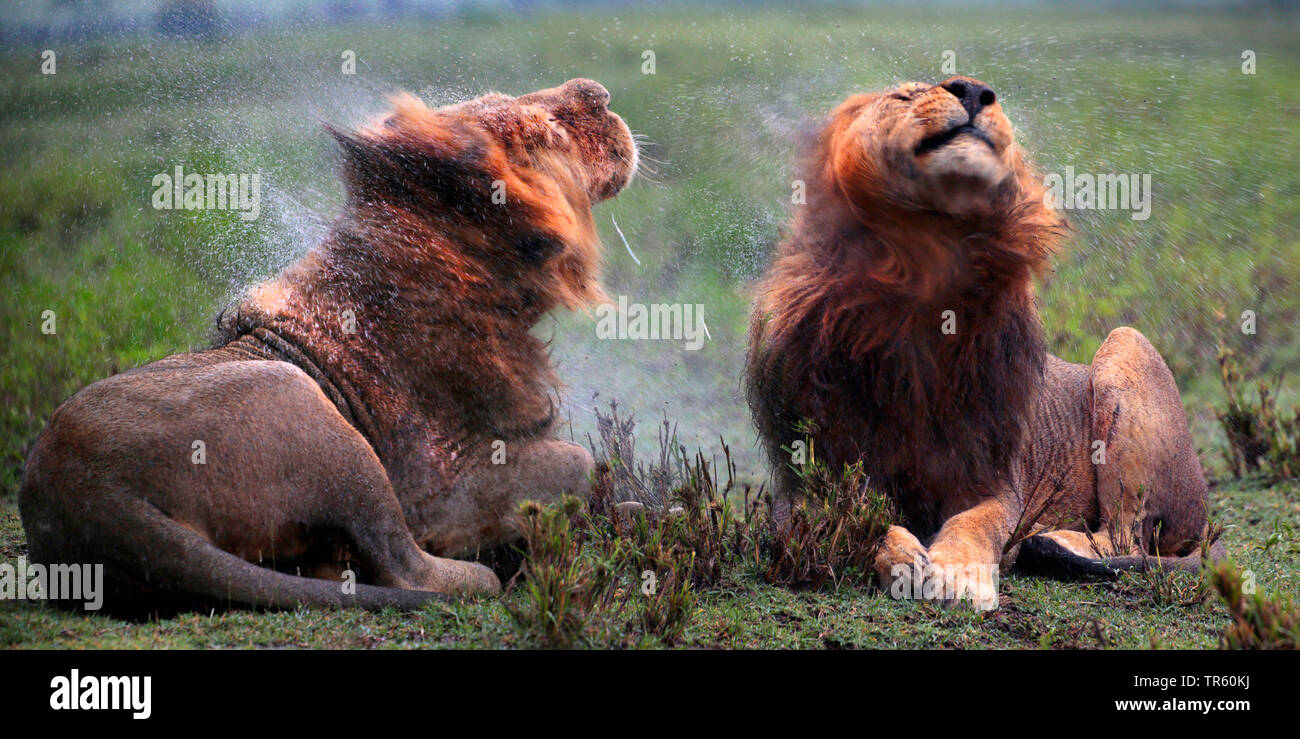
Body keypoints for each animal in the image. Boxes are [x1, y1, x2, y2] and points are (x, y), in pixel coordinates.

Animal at [15, 78, 634, 614]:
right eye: (544, 129)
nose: (602, 93)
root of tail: (87, 497)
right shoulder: (441, 486)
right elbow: (580, 461)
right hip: (309, 407)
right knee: (406, 566)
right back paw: (492, 571)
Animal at [748, 76, 1222, 611]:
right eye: (906, 95)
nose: (972, 88)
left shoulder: (995, 481)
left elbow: (975, 523)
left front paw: (960, 574)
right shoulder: (802, 483)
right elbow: (849, 522)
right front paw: (905, 558)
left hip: (1128, 345)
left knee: (1127, 537)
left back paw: (1049, 541)